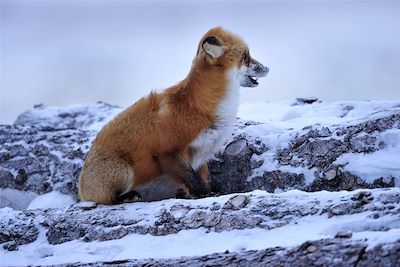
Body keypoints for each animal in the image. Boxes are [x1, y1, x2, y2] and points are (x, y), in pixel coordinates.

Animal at [78, 27, 268, 204]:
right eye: (246, 56)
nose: (267, 68)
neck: (203, 106)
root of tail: (81, 189)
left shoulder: (202, 153)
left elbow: (204, 179)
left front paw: (205, 192)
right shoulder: (168, 151)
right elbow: (193, 180)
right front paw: (204, 195)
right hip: (123, 170)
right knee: (108, 200)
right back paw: (127, 197)